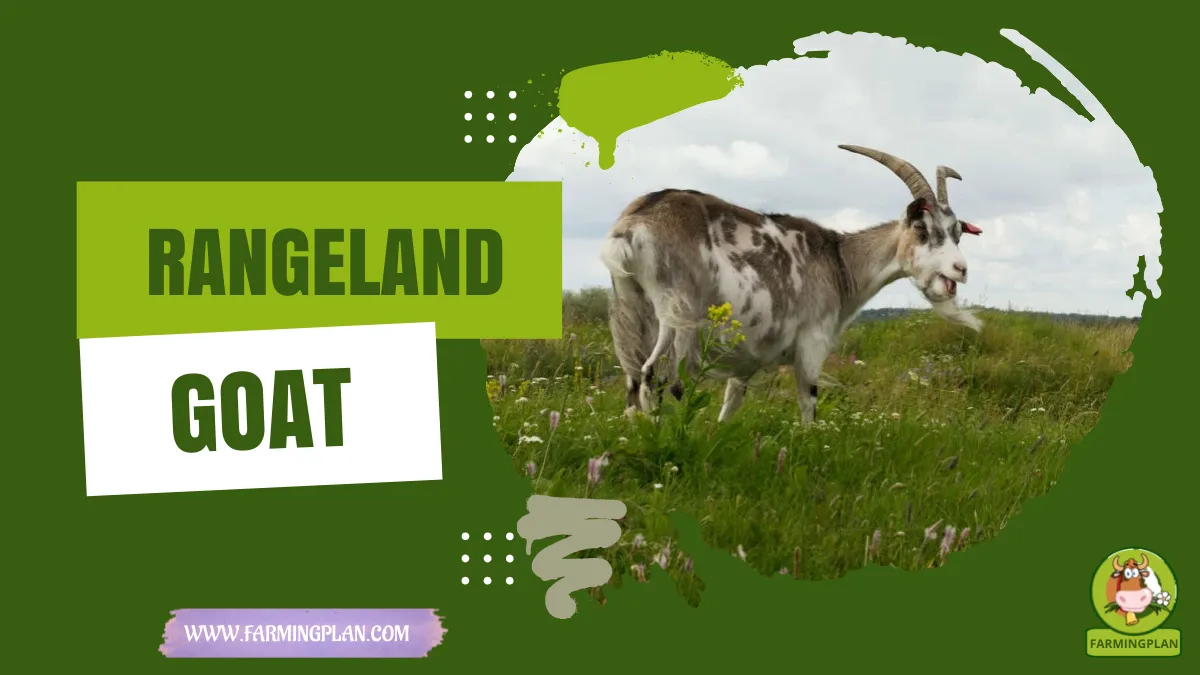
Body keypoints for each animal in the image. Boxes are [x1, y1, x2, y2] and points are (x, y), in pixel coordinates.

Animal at [599, 144, 984, 425]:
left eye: (957, 233)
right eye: (922, 229)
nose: (961, 269)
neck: (839, 262)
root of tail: (633, 225)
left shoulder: (747, 358)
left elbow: (731, 402)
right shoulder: (813, 342)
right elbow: (808, 402)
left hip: (632, 309)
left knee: (634, 382)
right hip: (675, 315)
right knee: (657, 378)